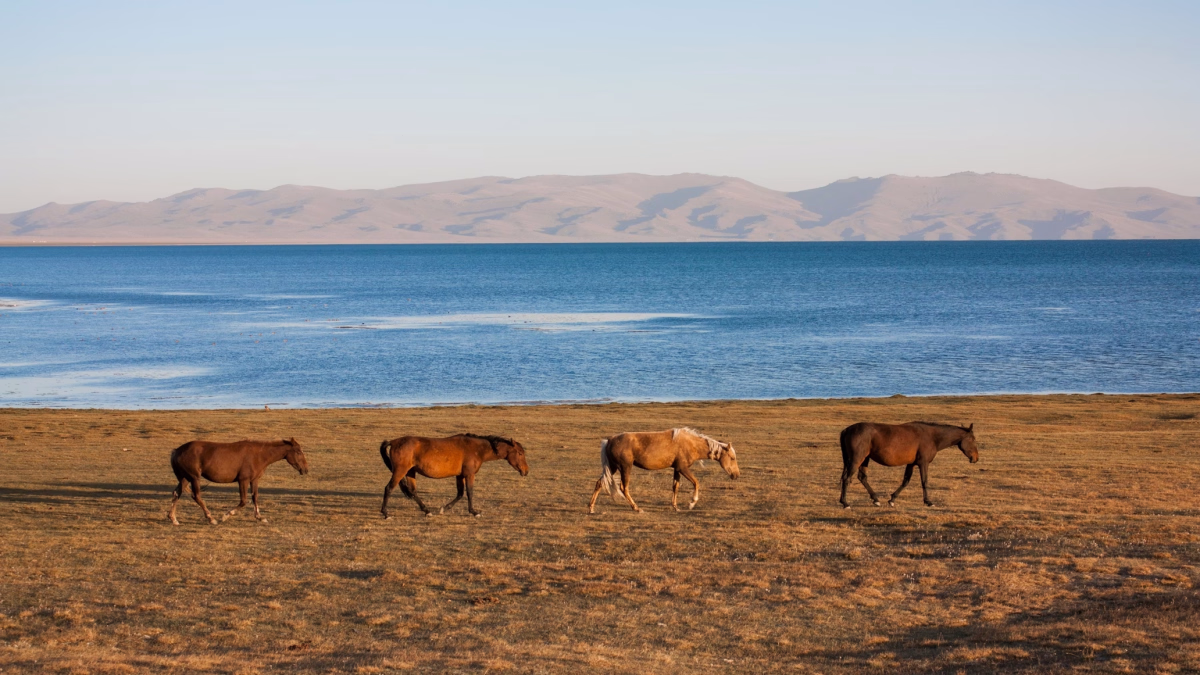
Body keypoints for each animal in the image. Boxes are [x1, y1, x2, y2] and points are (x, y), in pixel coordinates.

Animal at [168, 438, 309, 525]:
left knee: (176, 493)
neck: (258, 455)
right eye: (298, 451)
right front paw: (226, 515)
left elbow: (255, 497)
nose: (305, 470)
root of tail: (177, 451)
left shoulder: (254, 480)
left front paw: (259, 517)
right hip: (194, 478)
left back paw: (173, 518)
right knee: (196, 496)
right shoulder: (243, 481)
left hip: (185, 478)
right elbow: (243, 501)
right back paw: (211, 518)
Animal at [379, 433, 528, 519]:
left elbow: (460, 494)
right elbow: (469, 493)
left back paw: (427, 511)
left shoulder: (460, 475)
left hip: (410, 472)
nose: (526, 471)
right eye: (520, 453)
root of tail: (393, 442)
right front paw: (474, 512)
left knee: (413, 491)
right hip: (400, 471)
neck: (477, 449)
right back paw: (386, 513)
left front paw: (443, 509)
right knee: (388, 488)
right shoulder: (469, 474)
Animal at [588, 427, 740, 514]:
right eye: (732, 458)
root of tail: (609, 440)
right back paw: (636, 508)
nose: (736, 475)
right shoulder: (683, 468)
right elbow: (696, 483)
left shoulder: (677, 469)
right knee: (623, 488)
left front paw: (676, 507)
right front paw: (692, 503)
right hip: (625, 467)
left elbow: (675, 487)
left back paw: (591, 508)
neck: (691, 443)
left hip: (612, 468)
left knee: (599, 483)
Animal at [838, 422, 978, 509]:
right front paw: (928, 501)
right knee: (847, 478)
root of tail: (847, 430)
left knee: (862, 478)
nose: (976, 458)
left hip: (865, 459)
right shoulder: (923, 463)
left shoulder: (911, 464)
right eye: (973, 439)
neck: (932, 437)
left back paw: (875, 499)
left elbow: (905, 481)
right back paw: (845, 503)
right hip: (857, 459)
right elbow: (924, 482)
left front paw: (892, 500)